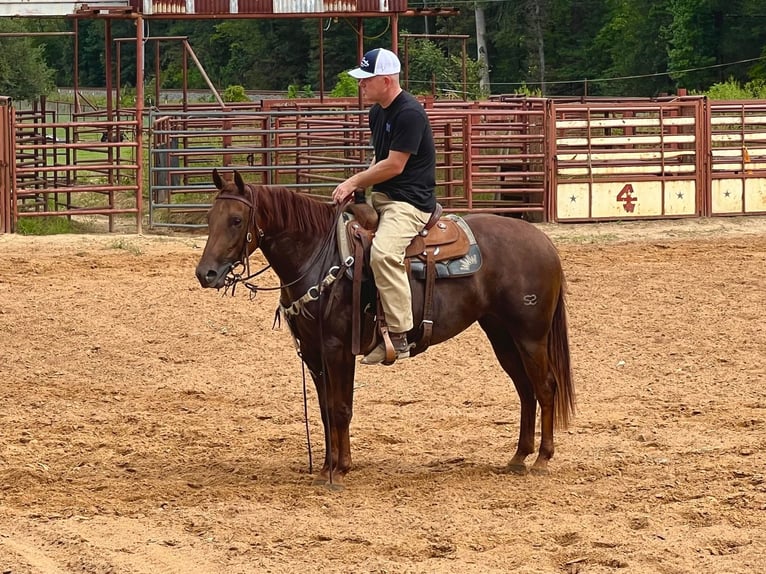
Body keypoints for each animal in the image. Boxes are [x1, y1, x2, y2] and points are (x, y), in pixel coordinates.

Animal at [195, 169, 572, 488]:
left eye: (236, 220)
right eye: (210, 219)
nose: (206, 274)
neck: (320, 256)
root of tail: (544, 242)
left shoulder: (337, 348)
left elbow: (340, 407)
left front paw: (340, 470)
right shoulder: (313, 352)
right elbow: (325, 410)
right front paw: (326, 466)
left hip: (530, 335)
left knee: (545, 387)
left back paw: (542, 459)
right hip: (501, 334)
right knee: (525, 389)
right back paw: (519, 457)